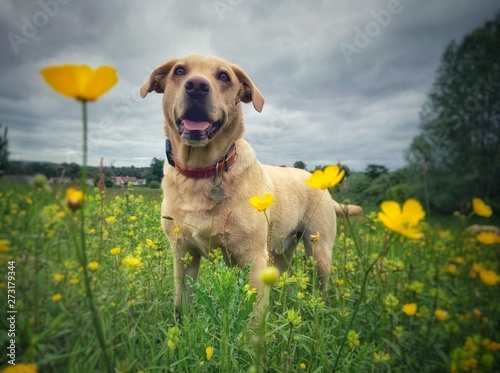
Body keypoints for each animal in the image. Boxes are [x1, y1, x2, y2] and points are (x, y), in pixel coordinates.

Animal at [140, 55, 360, 310]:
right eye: (179, 71)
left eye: (224, 76)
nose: (196, 86)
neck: (202, 171)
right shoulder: (183, 254)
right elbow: (182, 304)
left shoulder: (253, 258)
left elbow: (254, 314)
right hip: (281, 252)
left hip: (319, 251)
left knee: (321, 286)